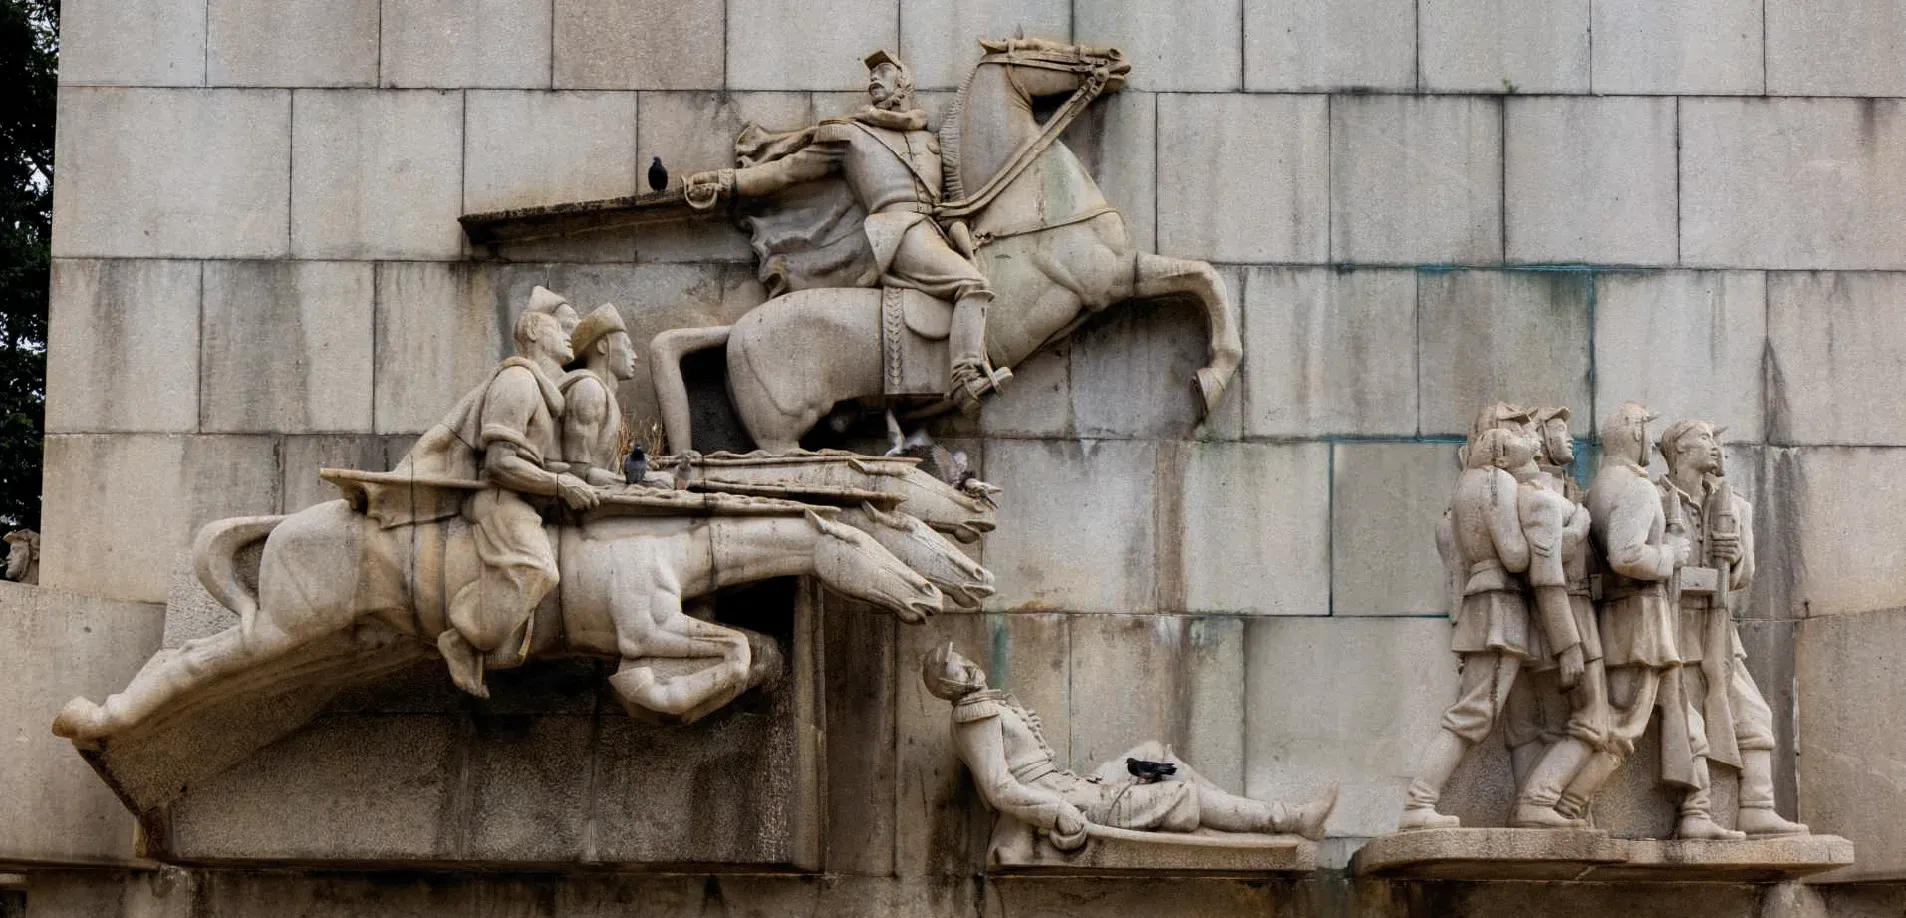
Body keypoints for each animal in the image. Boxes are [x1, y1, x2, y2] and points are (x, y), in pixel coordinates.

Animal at [651, 40, 1250, 455]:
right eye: (1040, 47)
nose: (1114, 58)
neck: (1030, 204)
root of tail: (735, 329)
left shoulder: (1120, 274)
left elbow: (1201, 276)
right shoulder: (1108, 278)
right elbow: (1202, 278)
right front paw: (1213, 379)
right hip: (781, 427)